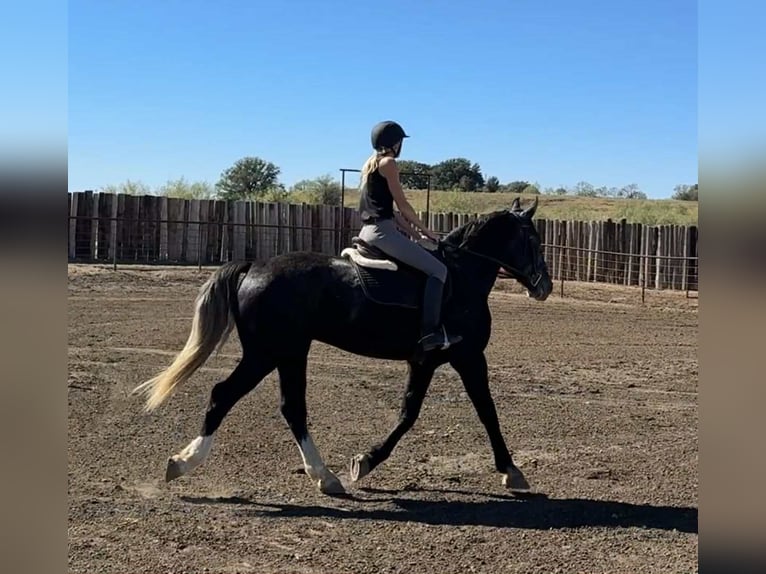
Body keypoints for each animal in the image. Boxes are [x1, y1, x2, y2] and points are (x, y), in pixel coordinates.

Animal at [133, 196, 553, 495]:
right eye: (532, 239)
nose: (545, 286)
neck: (461, 276)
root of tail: (254, 266)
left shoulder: (429, 361)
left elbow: (412, 413)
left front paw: (364, 462)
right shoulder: (465, 357)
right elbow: (483, 411)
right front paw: (511, 471)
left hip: (288, 354)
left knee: (290, 408)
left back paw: (323, 476)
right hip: (268, 353)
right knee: (225, 395)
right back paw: (185, 463)